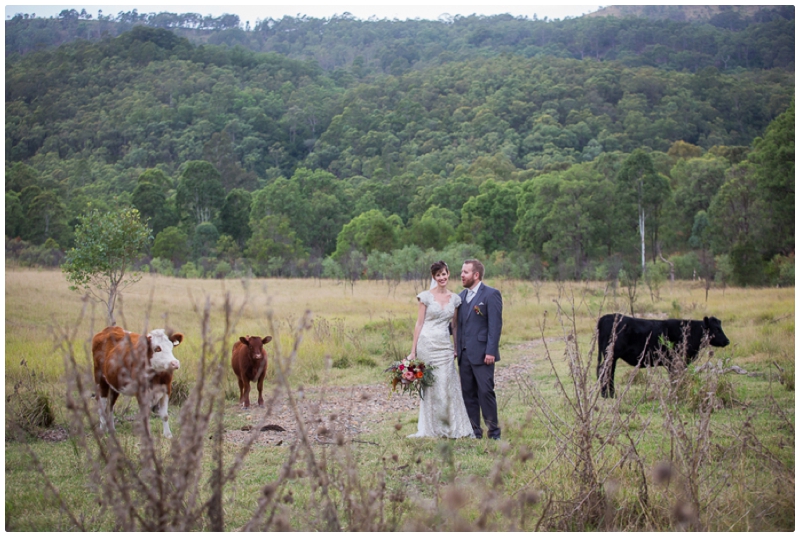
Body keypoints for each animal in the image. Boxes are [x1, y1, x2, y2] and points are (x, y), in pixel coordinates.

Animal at [592, 312, 732, 396]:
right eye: (716, 329)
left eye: (720, 327)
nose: (727, 341)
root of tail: (606, 317)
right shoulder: (675, 362)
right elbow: (675, 378)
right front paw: (675, 392)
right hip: (611, 355)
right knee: (605, 371)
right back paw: (607, 395)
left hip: (612, 357)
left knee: (609, 372)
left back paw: (610, 394)